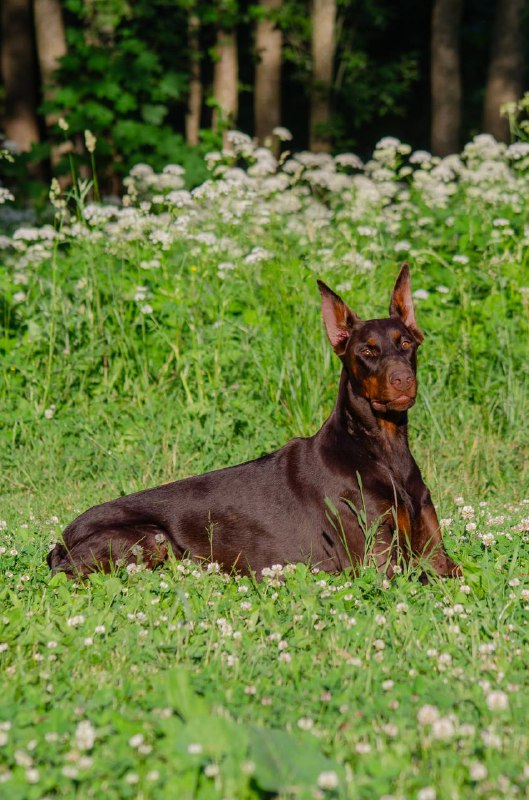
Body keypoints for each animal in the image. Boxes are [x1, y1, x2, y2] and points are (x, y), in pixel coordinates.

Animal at [47, 264, 460, 580]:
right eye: (367, 351)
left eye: (406, 343)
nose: (403, 379)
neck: (384, 451)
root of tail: (60, 541)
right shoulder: (378, 564)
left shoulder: (435, 555)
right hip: (150, 537)